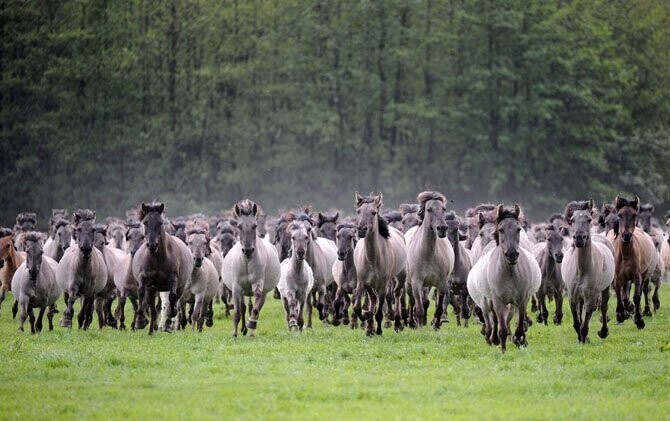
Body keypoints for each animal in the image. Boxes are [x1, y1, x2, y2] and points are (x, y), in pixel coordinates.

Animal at [132, 202, 193, 334]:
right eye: (145, 222)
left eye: (160, 223)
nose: (152, 245)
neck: (157, 260)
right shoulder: (145, 280)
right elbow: (141, 292)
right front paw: (140, 321)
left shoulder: (173, 280)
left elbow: (172, 298)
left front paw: (170, 320)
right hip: (152, 290)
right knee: (153, 309)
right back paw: (151, 330)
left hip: (180, 286)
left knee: (174, 300)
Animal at [222, 199, 282, 336]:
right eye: (239, 226)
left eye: (254, 226)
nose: (248, 250)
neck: (247, 261)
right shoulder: (236, 288)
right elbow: (237, 312)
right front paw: (235, 334)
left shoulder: (258, 285)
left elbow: (255, 310)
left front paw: (251, 327)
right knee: (243, 308)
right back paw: (243, 329)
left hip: (263, 293)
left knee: (256, 309)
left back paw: (249, 330)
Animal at [354, 193, 406, 334]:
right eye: (358, 211)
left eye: (373, 212)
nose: (361, 230)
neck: (372, 259)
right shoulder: (363, 282)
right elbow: (358, 308)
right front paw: (367, 318)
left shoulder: (383, 285)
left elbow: (379, 311)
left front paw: (379, 331)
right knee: (373, 299)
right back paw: (370, 326)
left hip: (401, 276)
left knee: (397, 293)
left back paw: (397, 322)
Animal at [406, 190, 454, 328]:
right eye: (428, 209)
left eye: (444, 209)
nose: (442, 228)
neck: (428, 254)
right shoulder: (416, 282)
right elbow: (419, 308)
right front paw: (419, 327)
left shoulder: (442, 283)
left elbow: (439, 308)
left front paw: (436, 325)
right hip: (409, 283)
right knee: (411, 301)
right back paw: (411, 322)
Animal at [564, 200, 616, 342]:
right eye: (572, 220)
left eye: (588, 219)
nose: (579, 238)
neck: (582, 269)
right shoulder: (572, 296)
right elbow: (577, 321)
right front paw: (581, 338)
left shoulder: (590, 296)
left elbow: (585, 322)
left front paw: (584, 338)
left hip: (605, 288)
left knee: (604, 307)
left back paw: (603, 332)